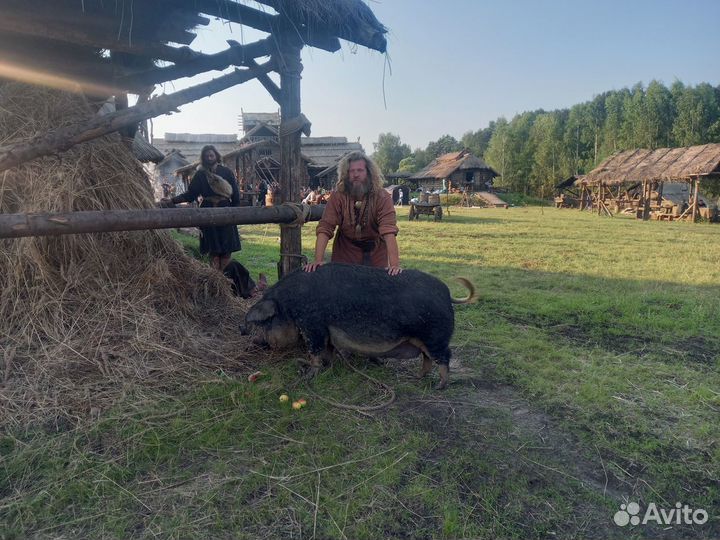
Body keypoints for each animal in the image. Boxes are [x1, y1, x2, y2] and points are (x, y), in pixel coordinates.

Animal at [245, 262, 476, 386]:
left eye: (265, 321)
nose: (255, 341)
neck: (289, 305)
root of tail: (447, 294)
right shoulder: (326, 331)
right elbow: (327, 351)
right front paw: (327, 367)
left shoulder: (312, 325)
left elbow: (315, 351)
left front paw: (310, 374)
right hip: (422, 340)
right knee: (427, 359)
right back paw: (416, 377)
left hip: (436, 336)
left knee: (444, 357)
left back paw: (440, 386)